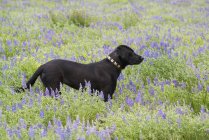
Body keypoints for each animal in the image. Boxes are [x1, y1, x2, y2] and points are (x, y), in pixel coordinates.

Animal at [16, 45, 144, 101]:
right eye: (130, 53)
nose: (142, 58)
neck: (112, 65)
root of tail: (43, 66)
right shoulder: (107, 93)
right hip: (55, 87)